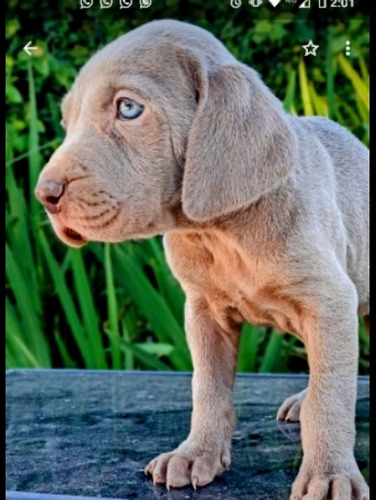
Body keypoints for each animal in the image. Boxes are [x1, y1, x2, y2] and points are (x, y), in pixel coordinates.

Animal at [33, 19, 368, 500]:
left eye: (128, 108)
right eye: (67, 120)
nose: (44, 195)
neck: (221, 233)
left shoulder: (330, 301)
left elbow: (332, 396)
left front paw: (328, 474)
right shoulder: (203, 311)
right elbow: (206, 387)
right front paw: (196, 454)